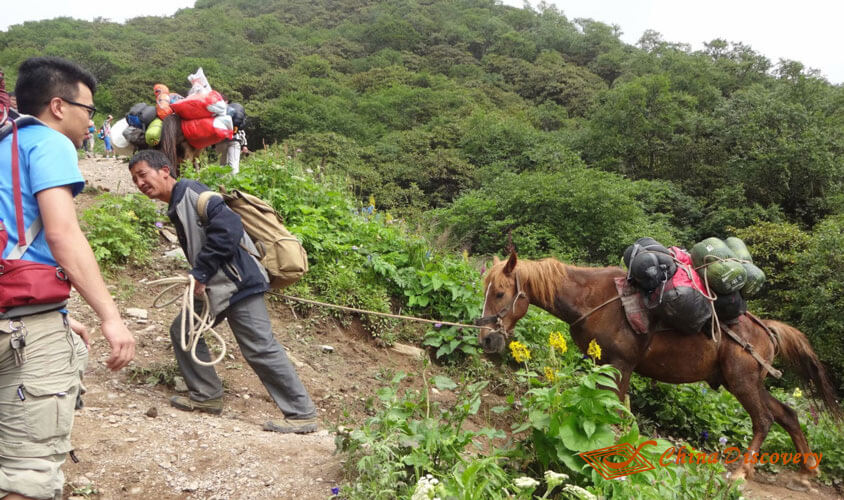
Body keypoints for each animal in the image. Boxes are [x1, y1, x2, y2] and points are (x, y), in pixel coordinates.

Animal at [478, 252, 840, 486]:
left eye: (500, 293)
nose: (486, 339)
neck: (593, 299)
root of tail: (767, 329)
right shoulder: (605, 366)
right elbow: (615, 412)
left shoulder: (620, 365)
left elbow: (619, 414)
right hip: (746, 381)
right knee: (788, 414)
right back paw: (808, 468)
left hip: (742, 382)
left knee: (763, 420)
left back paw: (741, 471)